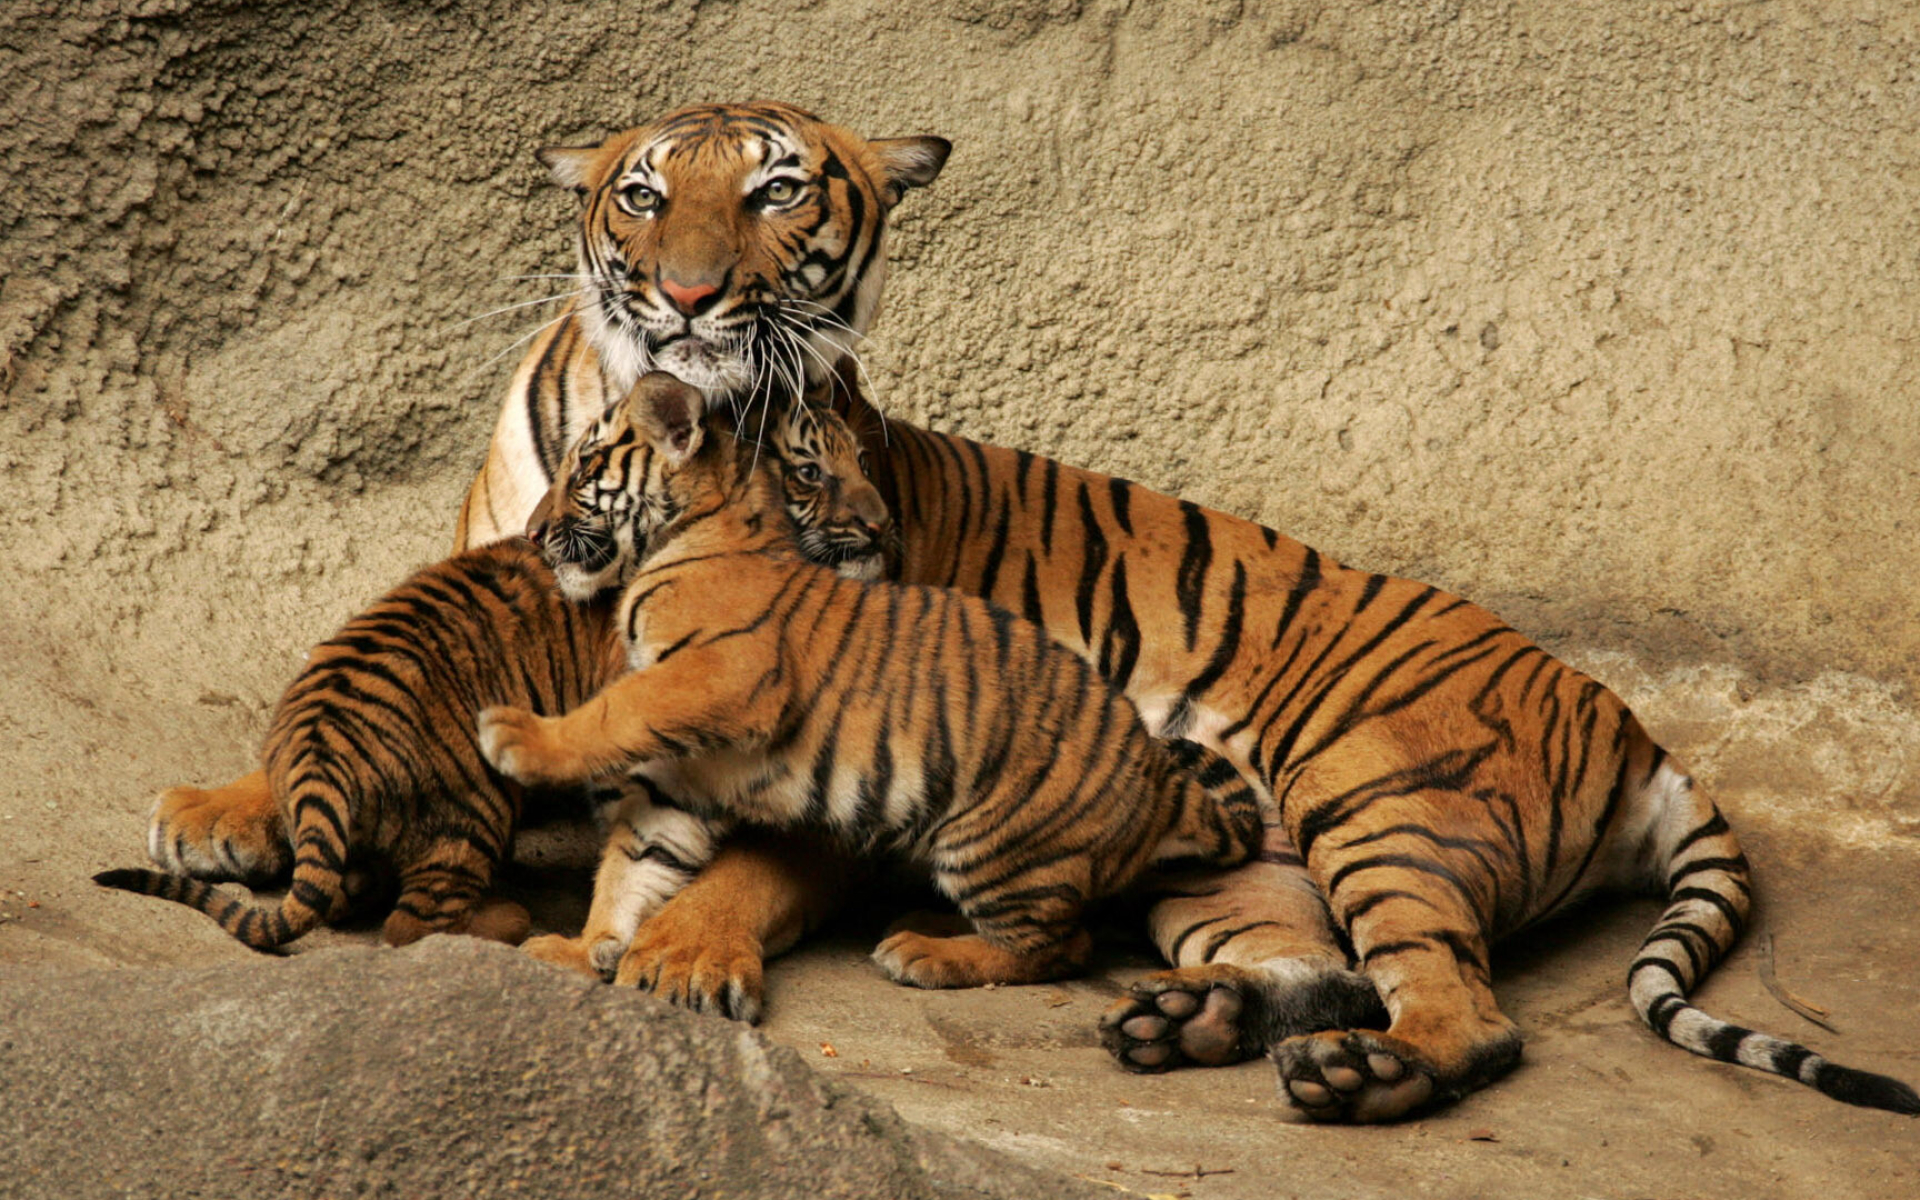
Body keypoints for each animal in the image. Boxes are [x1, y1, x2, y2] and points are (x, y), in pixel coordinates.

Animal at [153, 105, 1920, 1121]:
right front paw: (220, 807)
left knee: (1464, 1013)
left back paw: (1353, 1076)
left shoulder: (816, 744)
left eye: (783, 193)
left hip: (1385, 799)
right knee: (1316, 966)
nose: (695, 298)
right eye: (645, 198)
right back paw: (1192, 1025)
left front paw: (681, 958)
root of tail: (1639, 731)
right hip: (1252, 874)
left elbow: (730, 854)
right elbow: (349, 716)